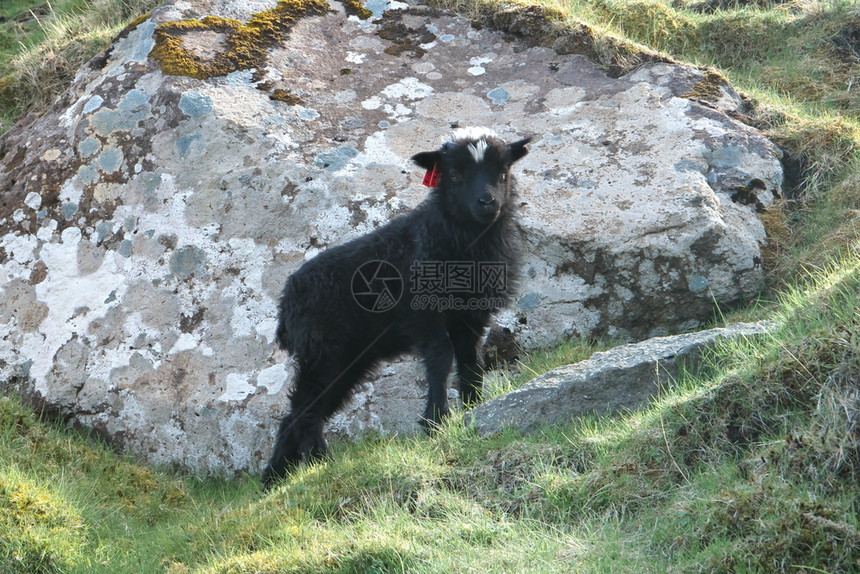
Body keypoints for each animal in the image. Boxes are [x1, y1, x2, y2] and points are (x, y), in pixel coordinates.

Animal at [262, 128, 532, 488]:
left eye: (503, 173)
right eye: (454, 176)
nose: (487, 203)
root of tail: (286, 304)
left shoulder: (471, 315)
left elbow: (470, 360)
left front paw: (475, 406)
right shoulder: (424, 315)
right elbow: (440, 359)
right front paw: (435, 421)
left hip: (348, 358)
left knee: (299, 411)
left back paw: (277, 476)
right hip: (323, 350)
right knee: (307, 408)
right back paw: (320, 463)